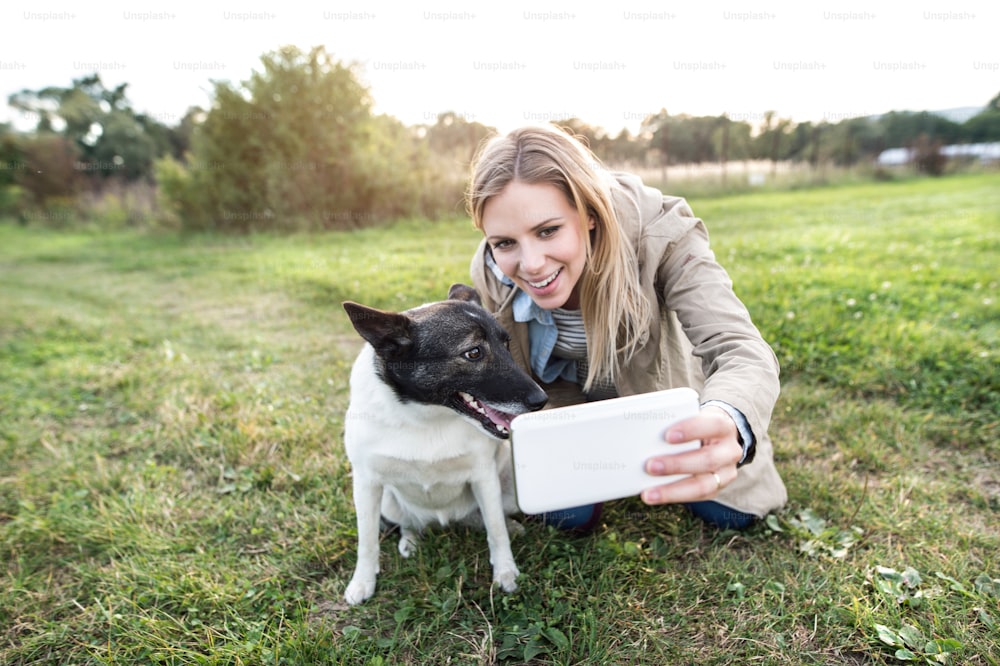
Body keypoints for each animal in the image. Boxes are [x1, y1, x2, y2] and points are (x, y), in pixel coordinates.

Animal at [342, 282, 548, 604]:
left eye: (506, 343)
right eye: (474, 352)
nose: (542, 400)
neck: (426, 416)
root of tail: (444, 520)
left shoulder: (483, 477)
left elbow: (495, 529)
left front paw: (505, 572)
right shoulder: (366, 485)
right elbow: (367, 541)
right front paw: (362, 582)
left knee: (483, 518)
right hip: (389, 502)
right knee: (408, 523)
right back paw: (410, 540)